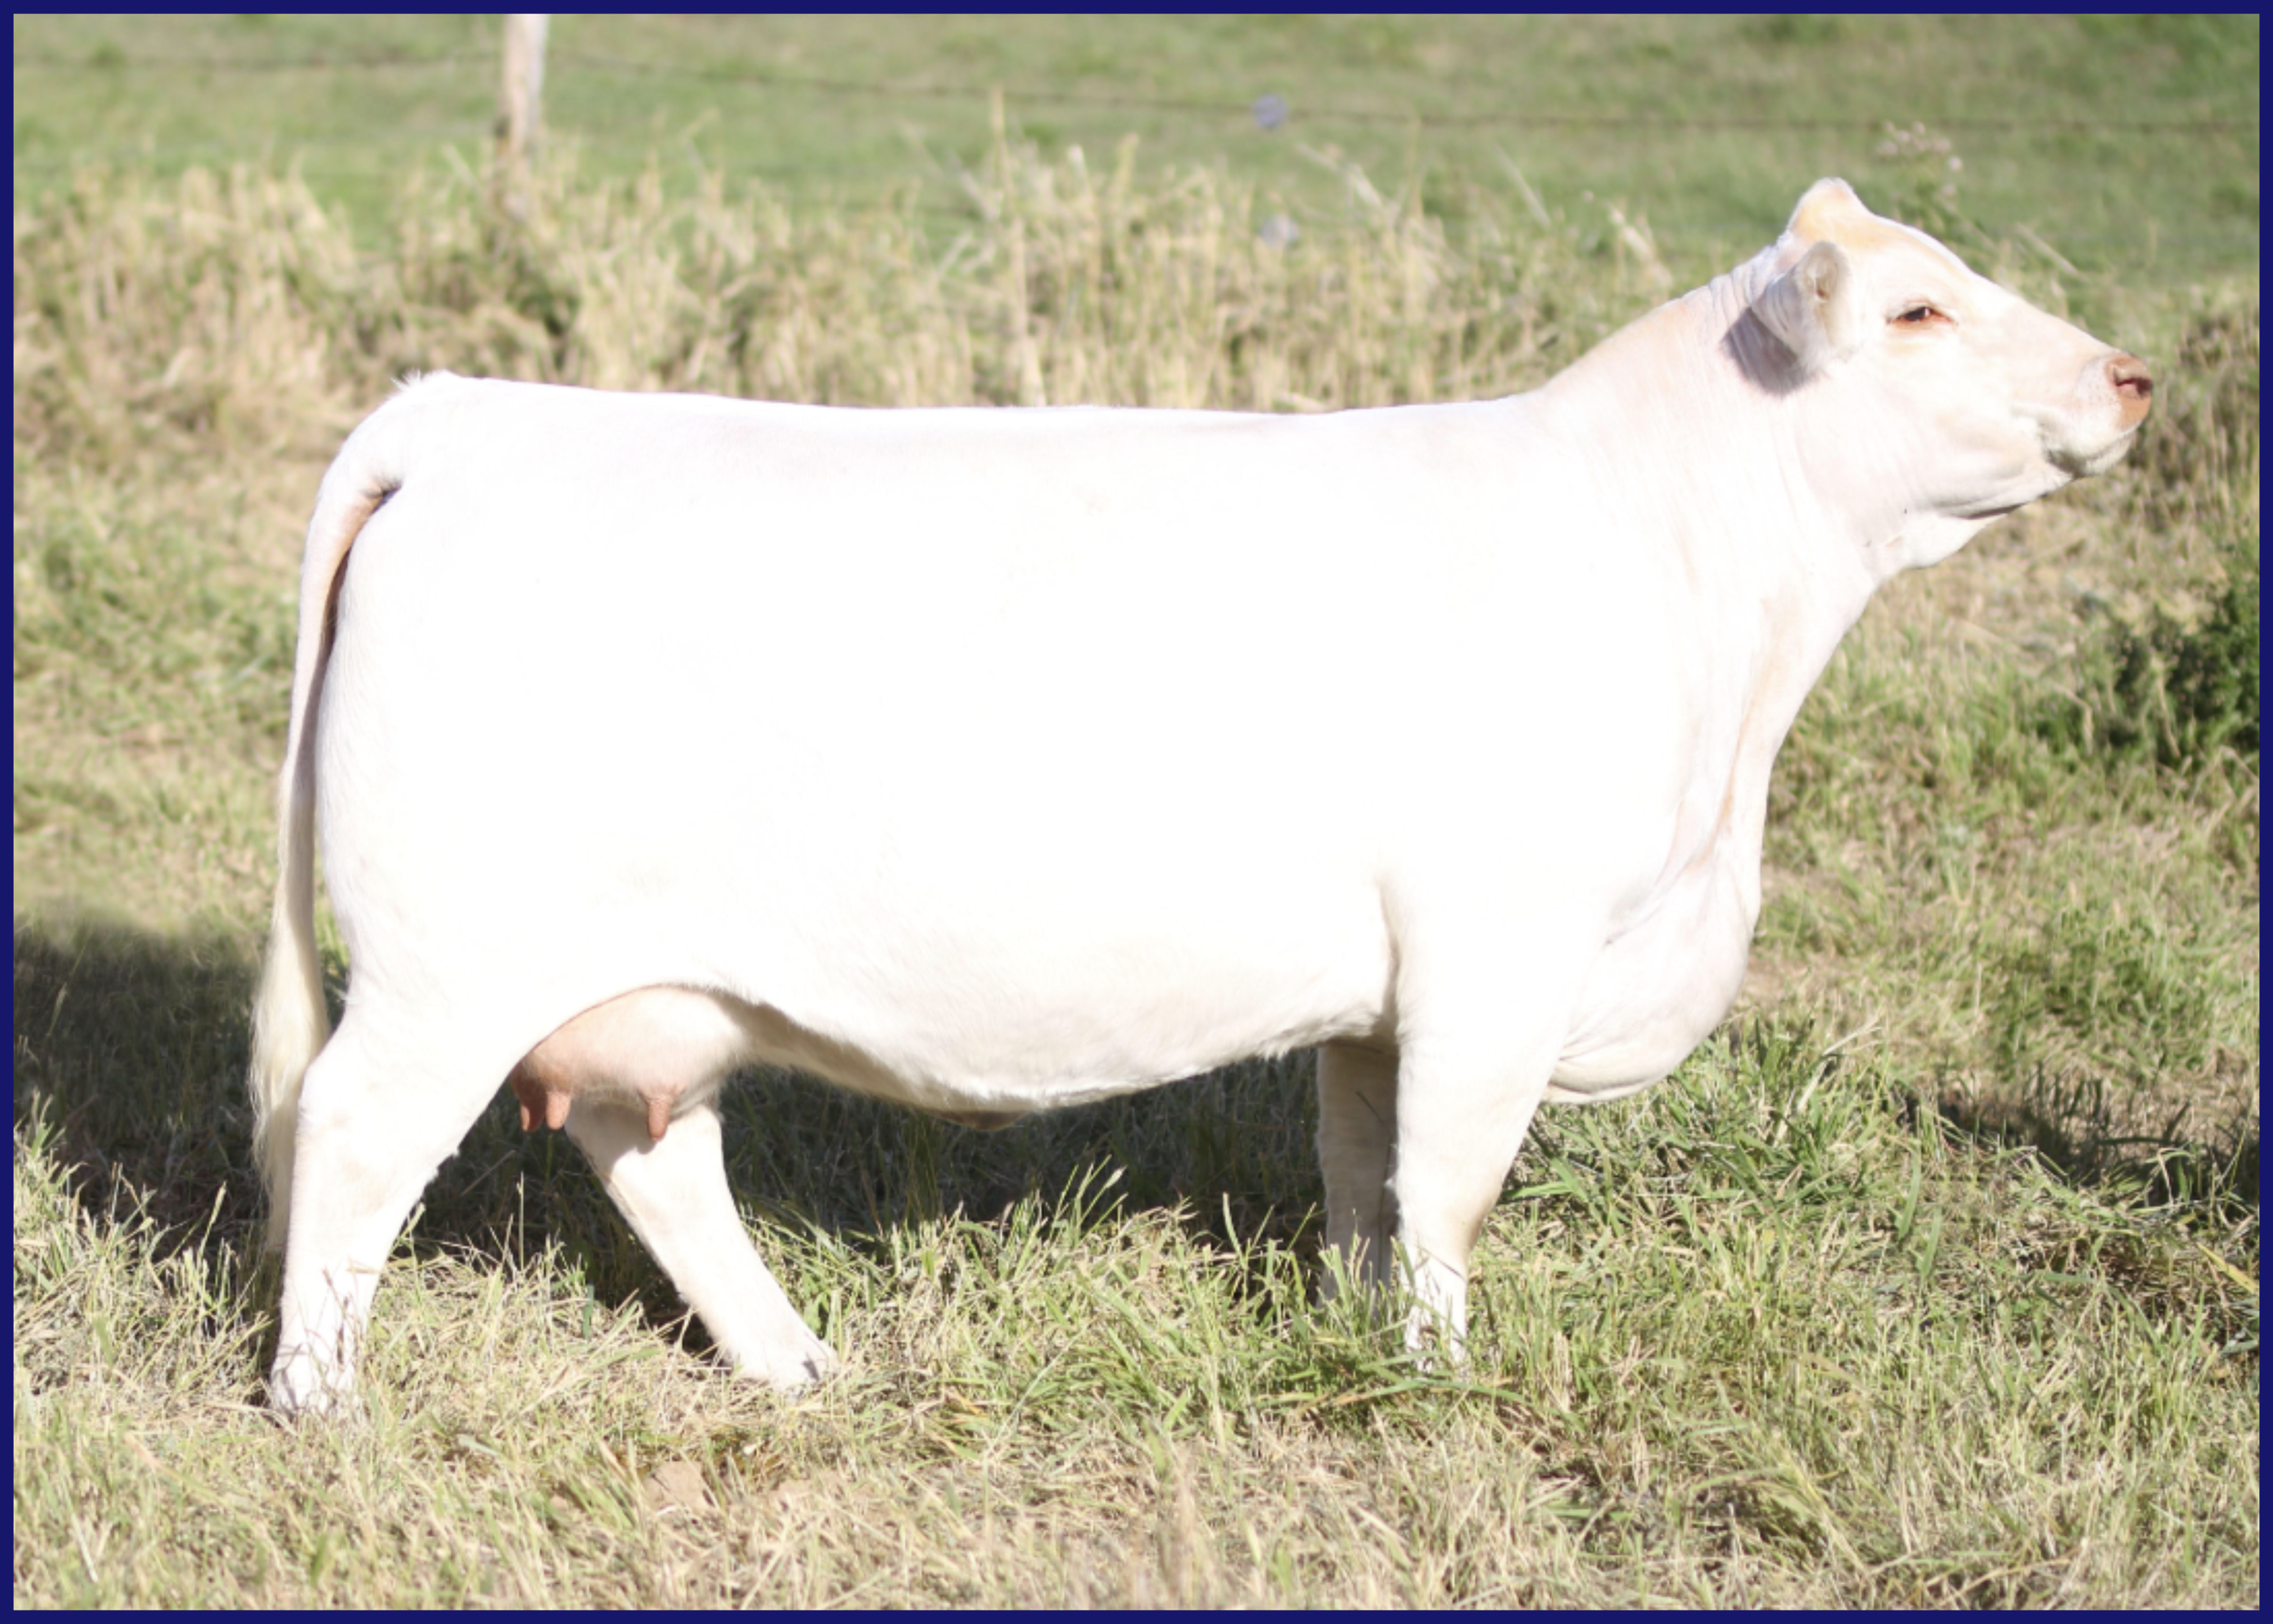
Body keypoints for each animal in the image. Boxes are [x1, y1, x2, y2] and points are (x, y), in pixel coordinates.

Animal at [250, 179, 2152, 1415]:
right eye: (1917, 310)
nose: (2131, 373)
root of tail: (466, 412)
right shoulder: (1502, 958)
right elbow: (1451, 1188)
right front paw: (1450, 1386)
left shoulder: (1390, 999)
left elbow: (1365, 1178)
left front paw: (1367, 1342)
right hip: (449, 963)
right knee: (351, 1134)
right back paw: (319, 1404)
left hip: (640, 981)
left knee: (651, 1152)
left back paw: (801, 1367)